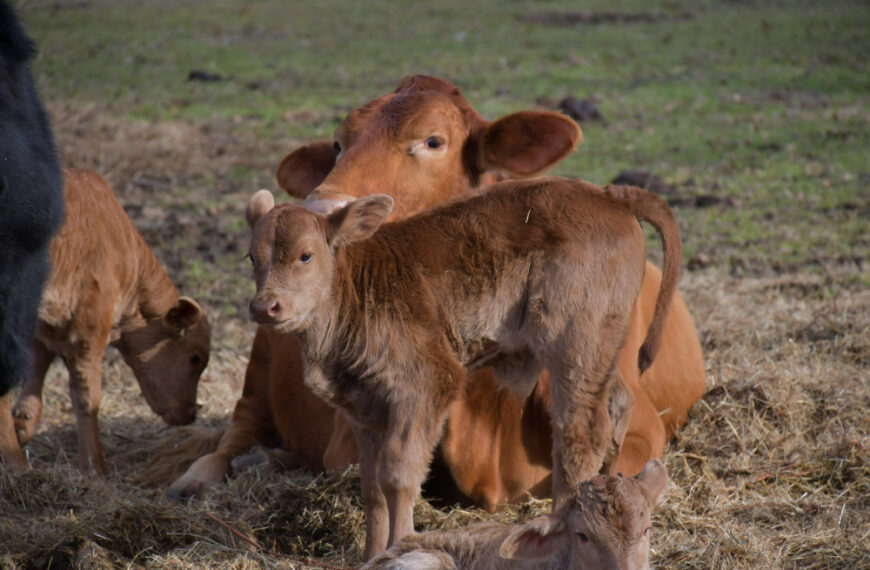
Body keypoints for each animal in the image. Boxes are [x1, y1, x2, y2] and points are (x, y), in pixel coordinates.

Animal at [7, 166, 211, 472]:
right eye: (195, 358)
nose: (190, 414)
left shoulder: (46, 327)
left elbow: (36, 369)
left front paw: (23, 425)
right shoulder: (88, 331)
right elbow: (87, 395)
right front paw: (95, 466)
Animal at [165, 73, 708, 508]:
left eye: (433, 141)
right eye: (339, 145)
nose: (318, 212)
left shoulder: (642, 427)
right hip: (260, 361)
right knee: (238, 430)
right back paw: (213, 473)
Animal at [244, 176, 680, 556]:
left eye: (305, 255)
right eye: (252, 257)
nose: (265, 307)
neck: (357, 285)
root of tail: (609, 195)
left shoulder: (427, 388)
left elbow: (398, 475)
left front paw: (399, 546)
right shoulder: (364, 408)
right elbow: (372, 487)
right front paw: (369, 554)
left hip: (573, 344)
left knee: (579, 432)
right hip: (600, 349)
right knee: (617, 405)